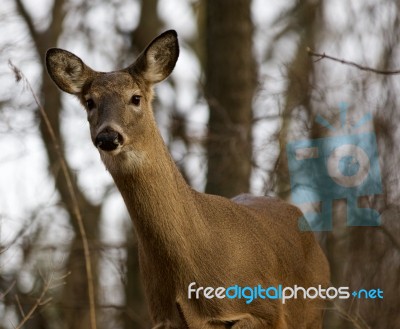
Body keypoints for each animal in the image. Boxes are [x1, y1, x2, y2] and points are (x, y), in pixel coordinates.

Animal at [45, 29, 330, 326]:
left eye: (135, 98)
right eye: (90, 102)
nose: (108, 137)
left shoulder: (268, 310)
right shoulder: (164, 317)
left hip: (313, 314)